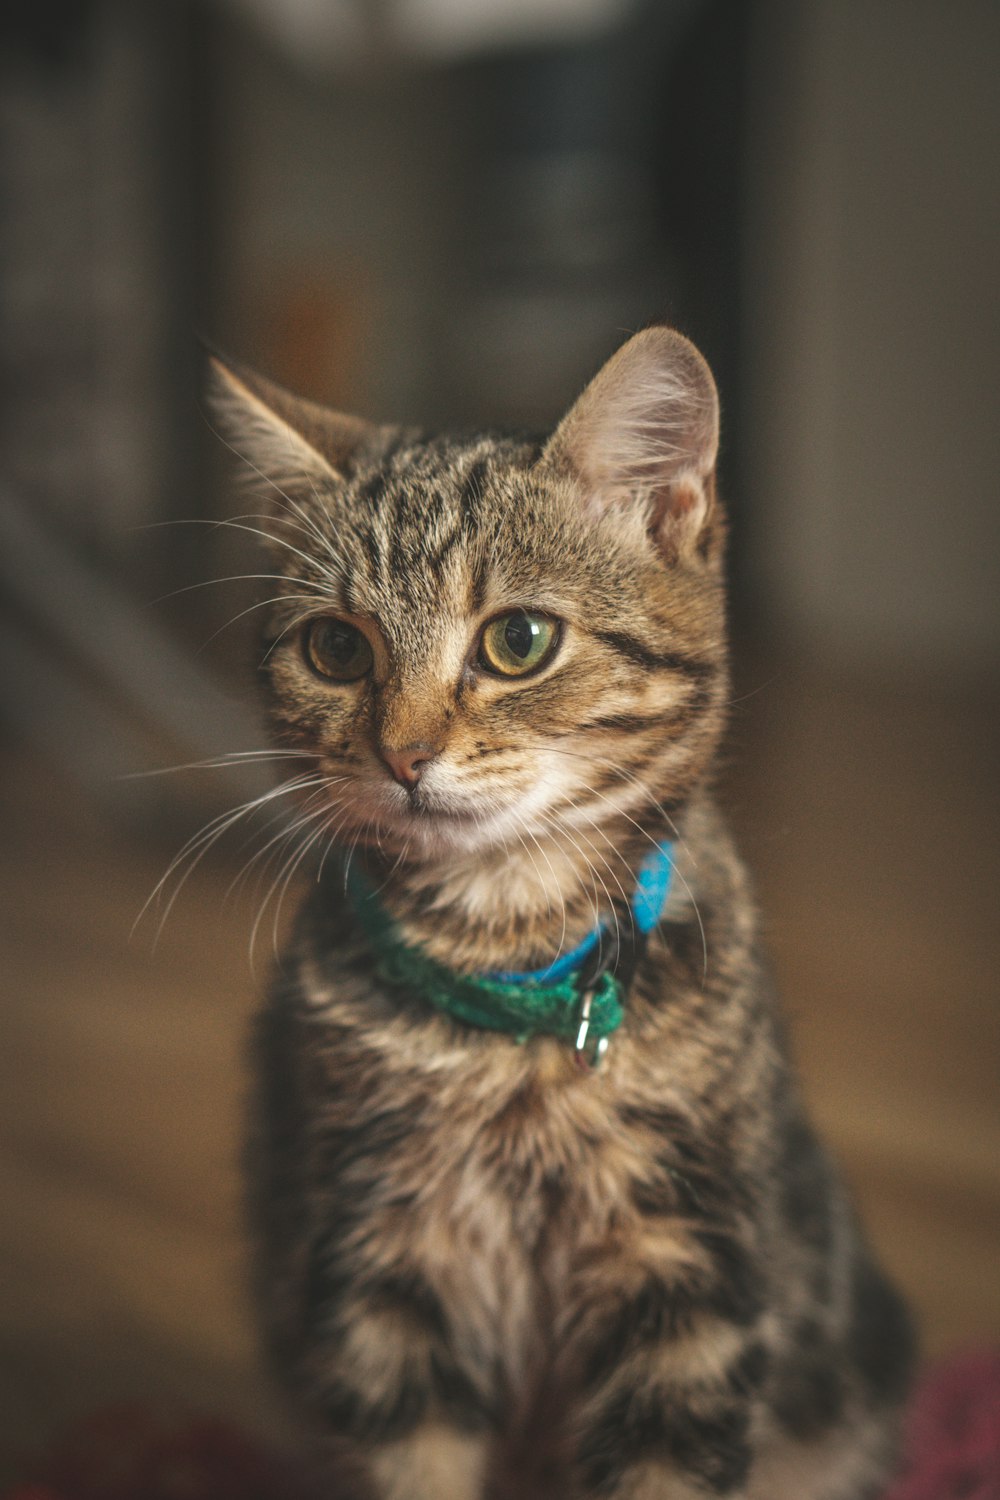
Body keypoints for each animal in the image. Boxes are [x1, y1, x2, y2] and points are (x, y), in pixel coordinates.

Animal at [206, 331, 911, 1500]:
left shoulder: (687, 1277)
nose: (401, 755)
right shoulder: (374, 1270)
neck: (505, 951)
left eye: (519, 640)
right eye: (336, 651)